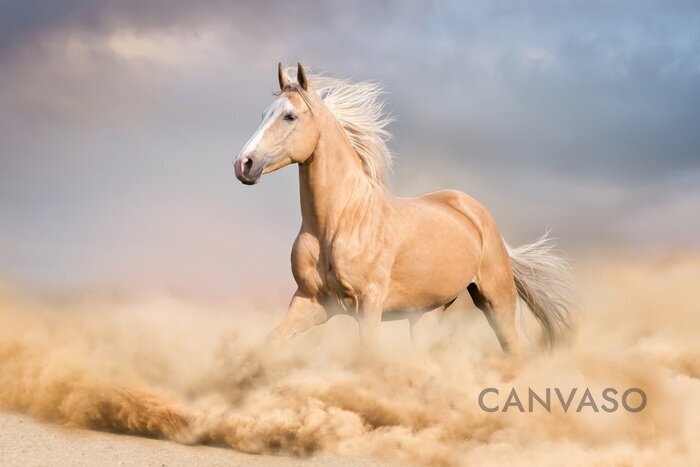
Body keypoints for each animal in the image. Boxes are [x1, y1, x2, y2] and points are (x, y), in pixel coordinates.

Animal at [232, 64, 572, 352]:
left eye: (290, 116)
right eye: (264, 114)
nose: (243, 164)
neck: (338, 222)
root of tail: (477, 214)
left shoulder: (368, 304)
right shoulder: (311, 302)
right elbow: (272, 341)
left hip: (496, 301)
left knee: (513, 348)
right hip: (426, 313)